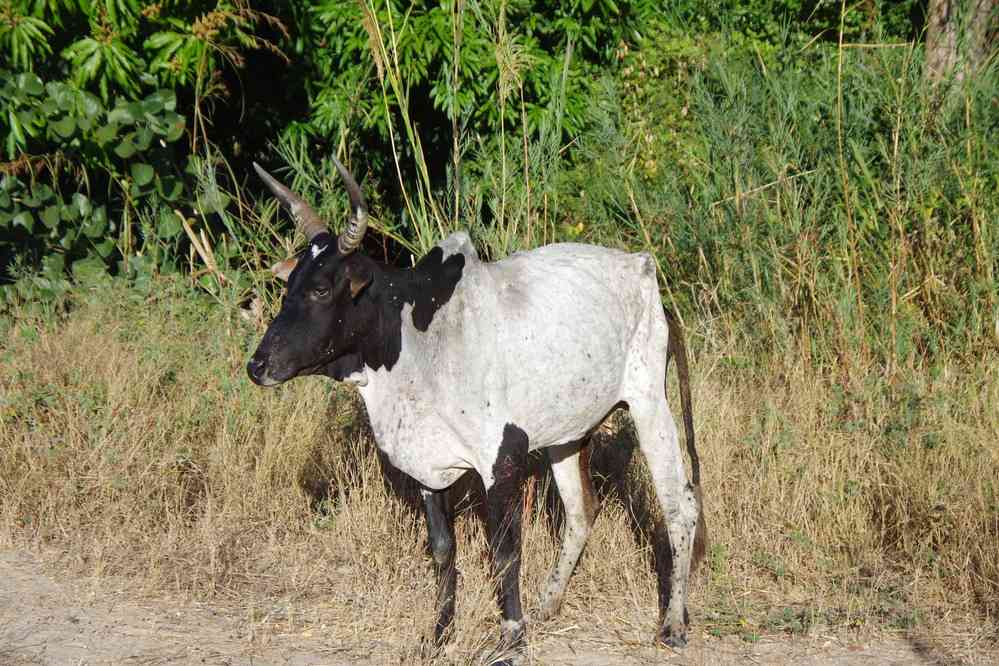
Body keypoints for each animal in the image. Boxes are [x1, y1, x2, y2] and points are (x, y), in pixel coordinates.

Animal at [246, 156, 708, 660]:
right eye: (289, 287)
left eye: (322, 289)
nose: (257, 365)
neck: (416, 339)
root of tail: (643, 270)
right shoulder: (428, 468)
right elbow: (443, 549)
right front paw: (440, 634)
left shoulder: (501, 462)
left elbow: (505, 553)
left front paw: (512, 636)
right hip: (566, 435)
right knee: (582, 511)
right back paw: (548, 604)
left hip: (650, 406)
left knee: (680, 506)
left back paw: (673, 624)